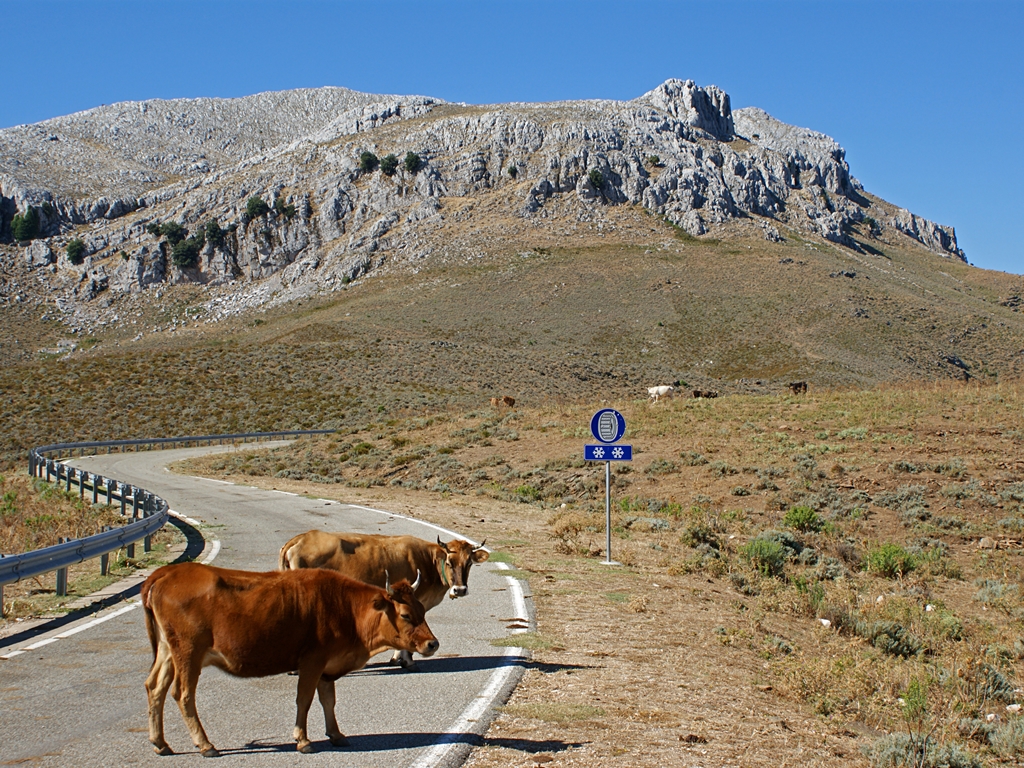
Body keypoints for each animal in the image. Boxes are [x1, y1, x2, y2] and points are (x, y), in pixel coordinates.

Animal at [141, 561, 436, 761]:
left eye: (422, 609)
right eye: (405, 614)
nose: (432, 643)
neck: (346, 609)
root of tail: (167, 572)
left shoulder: (327, 666)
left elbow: (328, 700)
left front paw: (336, 734)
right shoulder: (312, 661)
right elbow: (304, 699)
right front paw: (303, 740)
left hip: (168, 652)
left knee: (155, 687)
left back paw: (160, 743)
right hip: (189, 652)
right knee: (183, 694)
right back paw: (205, 745)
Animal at [280, 532, 487, 671]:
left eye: (469, 563)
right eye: (449, 562)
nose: (460, 590)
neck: (427, 562)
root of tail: (300, 538)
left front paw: (398, 659)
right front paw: (408, 661)